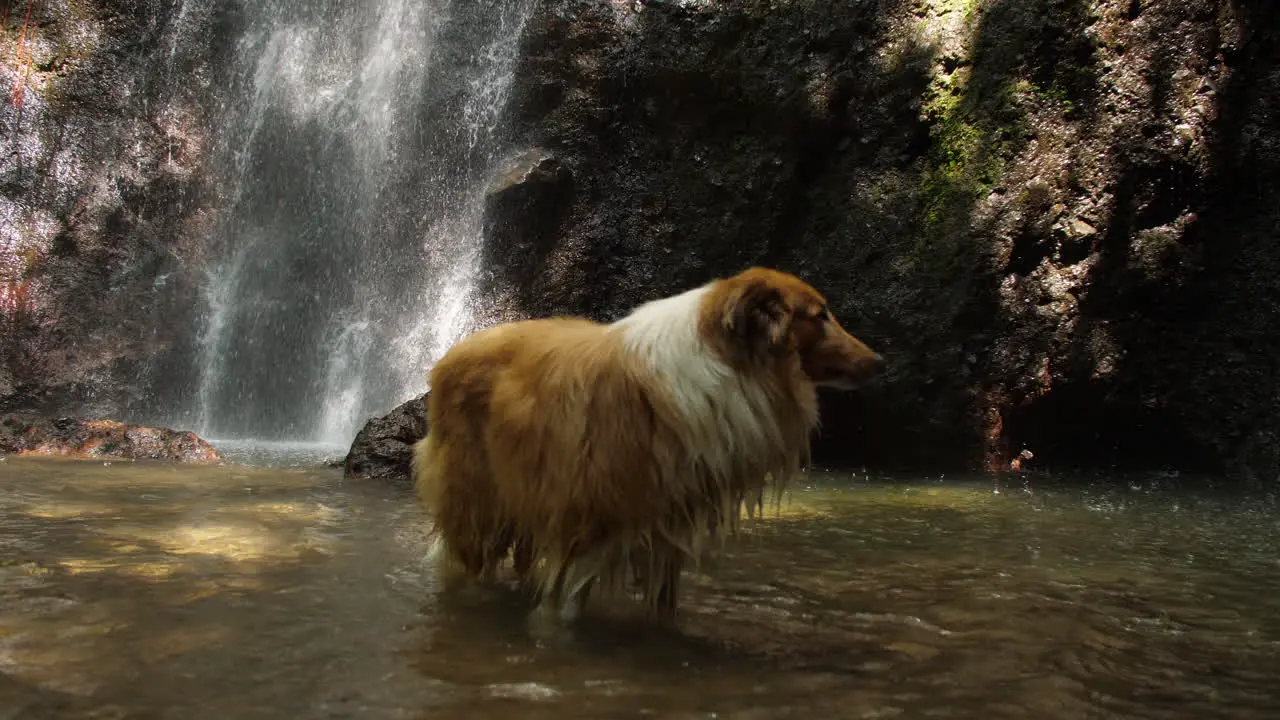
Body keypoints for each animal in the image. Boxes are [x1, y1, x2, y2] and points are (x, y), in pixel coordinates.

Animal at [409, 266, 880, 620]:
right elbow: (561, 611)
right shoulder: (584, 525)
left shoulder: (668, 530)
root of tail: (451, 354)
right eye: (820, 315)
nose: (878, 361)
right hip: (478, 507)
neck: (726, 365)